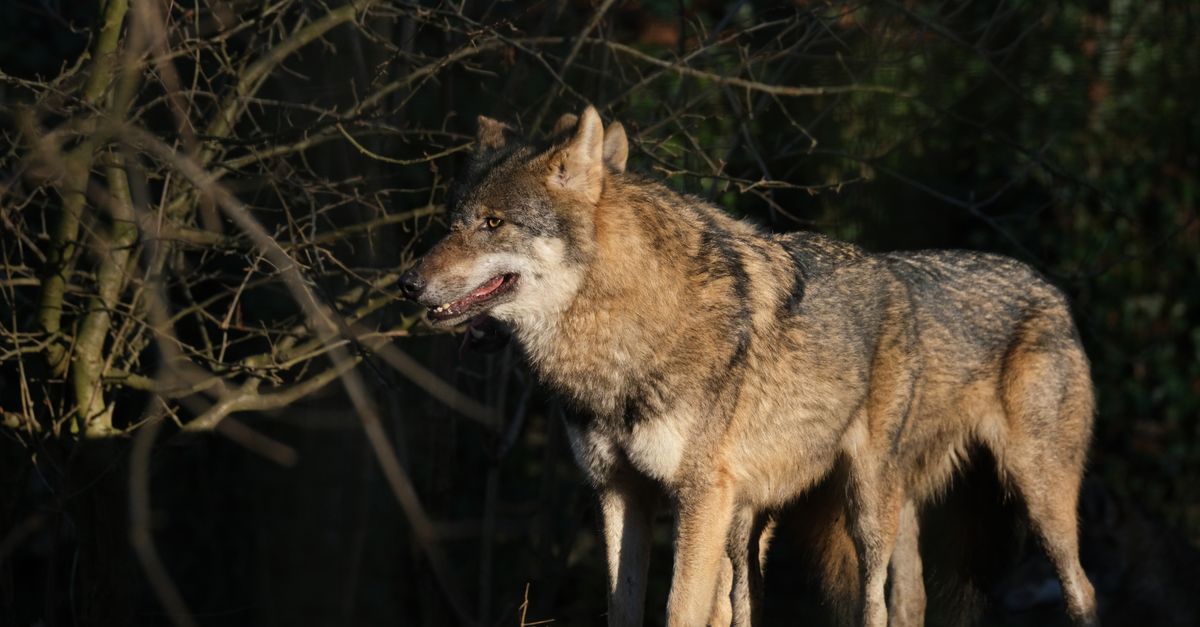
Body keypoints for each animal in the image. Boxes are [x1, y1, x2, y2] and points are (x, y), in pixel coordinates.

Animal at [399, 106, 1098, 627]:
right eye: (451, 223)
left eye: (493, 223)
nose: (407, 284)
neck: (622, 337)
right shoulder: (621, 492)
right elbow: (626, 608)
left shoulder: (698, 498)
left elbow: (680, 611)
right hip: (780, 521)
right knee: (882, 602)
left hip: (928, 504)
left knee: (1069, 589)